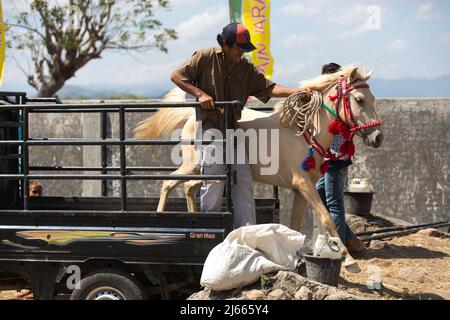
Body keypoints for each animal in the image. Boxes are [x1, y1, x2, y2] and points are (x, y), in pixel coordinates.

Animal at [134, 67, 384, 268]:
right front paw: (349, 260)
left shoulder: (302, 188)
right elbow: (327, 218)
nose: (378, 137)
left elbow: (295, 223)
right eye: (359, 99)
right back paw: (157, 224)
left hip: (203, 171)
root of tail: (190, 116)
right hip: (192, 165)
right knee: (168, 182)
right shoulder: (303, 183)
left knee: (189, 188)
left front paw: (295, 258)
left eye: (373, 98)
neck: (304, 131)